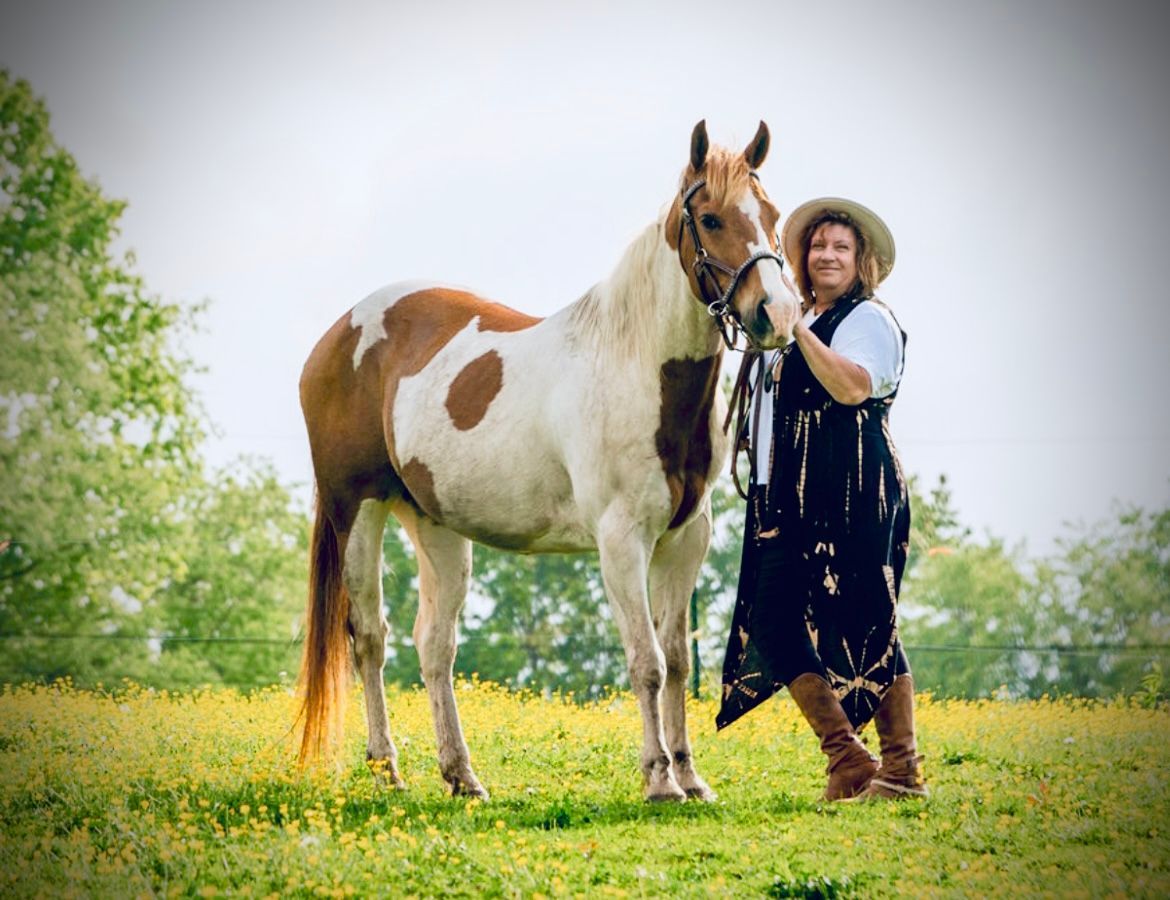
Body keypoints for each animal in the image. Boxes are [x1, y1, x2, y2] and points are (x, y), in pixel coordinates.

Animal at [297, 120, 801, 802]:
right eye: (711, 218)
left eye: (771, 214)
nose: (778, 314)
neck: (633, 364)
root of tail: (334, 339)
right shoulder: (621, 540)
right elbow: (647, 662)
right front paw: (659, 780)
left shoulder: (683, 540)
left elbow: (677, 663)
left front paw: (691, 778)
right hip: (359, 509)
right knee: (370, 639)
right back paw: (387, 769)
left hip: (436, 526)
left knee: (435, 646)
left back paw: (462, 776)